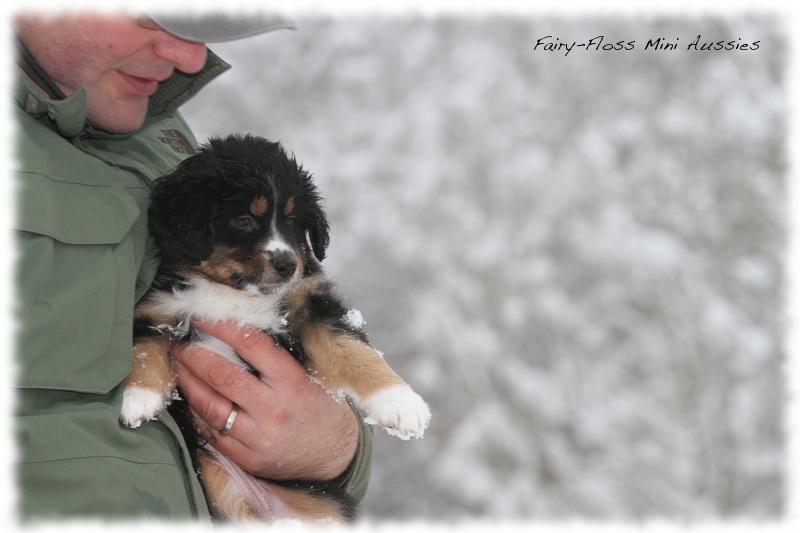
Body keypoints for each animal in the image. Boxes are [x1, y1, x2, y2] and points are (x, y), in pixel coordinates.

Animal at [119, 134, 432, 524]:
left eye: (293, 220)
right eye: (242, 220)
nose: (286, 265)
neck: (233, 293)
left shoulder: (308, 304)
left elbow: (353, 350)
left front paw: (401, 402)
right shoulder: (156, 308)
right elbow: (144, 348)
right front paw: (137, 397)